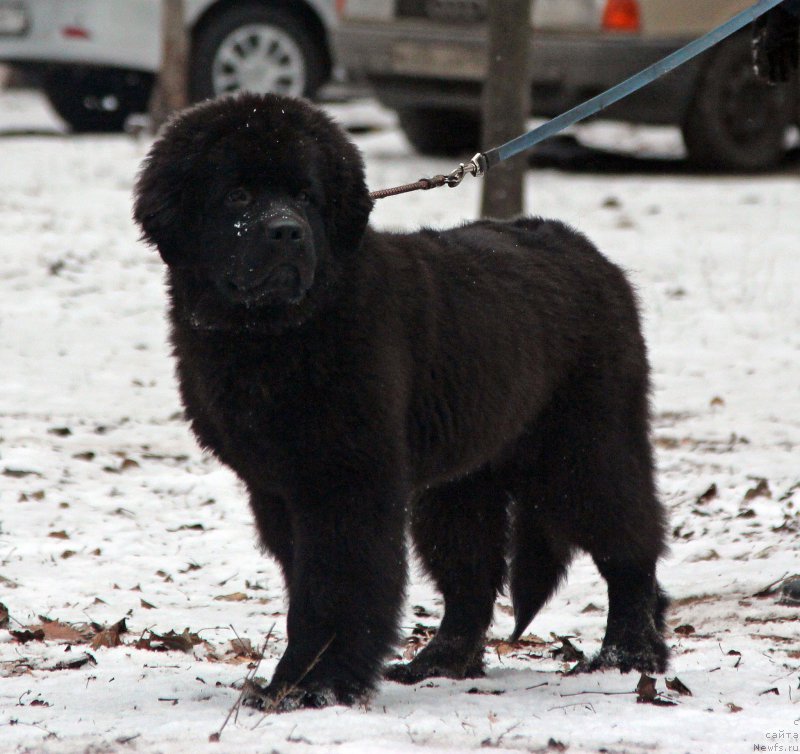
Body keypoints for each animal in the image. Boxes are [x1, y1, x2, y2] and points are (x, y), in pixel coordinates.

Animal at [136, 92, 668, 704]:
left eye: (305, 196)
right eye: (238, 196)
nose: (287, 233)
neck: (274, 335)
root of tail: (591, 255)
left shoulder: (345, 479)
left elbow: (336, 584)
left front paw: (318, 687)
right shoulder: (277, 487)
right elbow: (305, 585)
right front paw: (291, 683)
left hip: (586, 445)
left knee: (628, 540)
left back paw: (629, 653)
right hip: (462, 479)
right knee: (470, 574)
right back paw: (442, 661)